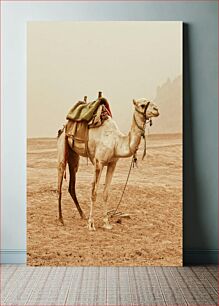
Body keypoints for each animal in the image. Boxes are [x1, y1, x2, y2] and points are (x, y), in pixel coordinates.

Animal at [57, 95, 159, 230]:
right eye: (142, 105)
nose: (157, 109)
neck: (116, 142)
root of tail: (64, 127)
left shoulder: (112, 164)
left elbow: (106, 193)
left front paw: (106, 223)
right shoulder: (99, 162)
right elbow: (94, 192)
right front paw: (91, 224)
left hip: (74, 155)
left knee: (72, 183)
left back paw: (82, 215)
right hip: (62, 145)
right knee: (60, 177)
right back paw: (61, 219)